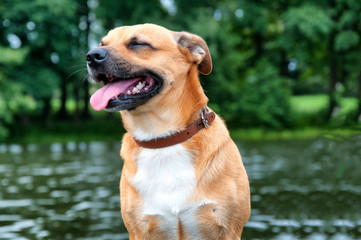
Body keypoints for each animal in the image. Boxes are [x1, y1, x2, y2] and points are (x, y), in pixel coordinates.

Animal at [86, 23, 250, 239]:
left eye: (138, 44)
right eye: (101, 44)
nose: (91, 55)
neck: (163, 139)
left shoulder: (229, 229)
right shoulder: (138, 230)